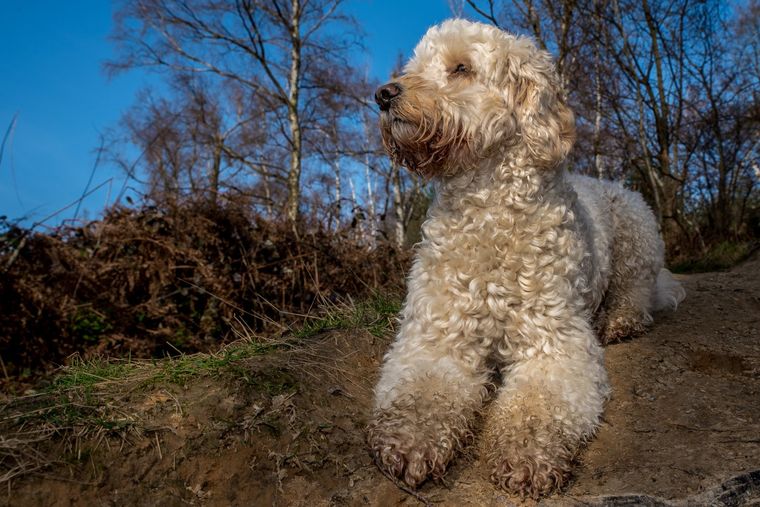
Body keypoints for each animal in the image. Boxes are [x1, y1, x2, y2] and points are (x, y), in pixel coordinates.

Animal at [368, 18, 688, 500]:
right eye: (415, 65)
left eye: (460, 67)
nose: (384, 94)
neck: (487, 209)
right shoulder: (436, 339)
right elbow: (422, 393)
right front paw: (410, 439)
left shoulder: (554, 343)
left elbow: (538, 407)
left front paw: (526, 453)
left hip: (637, 228)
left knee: (636, 291)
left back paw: (619, 319)